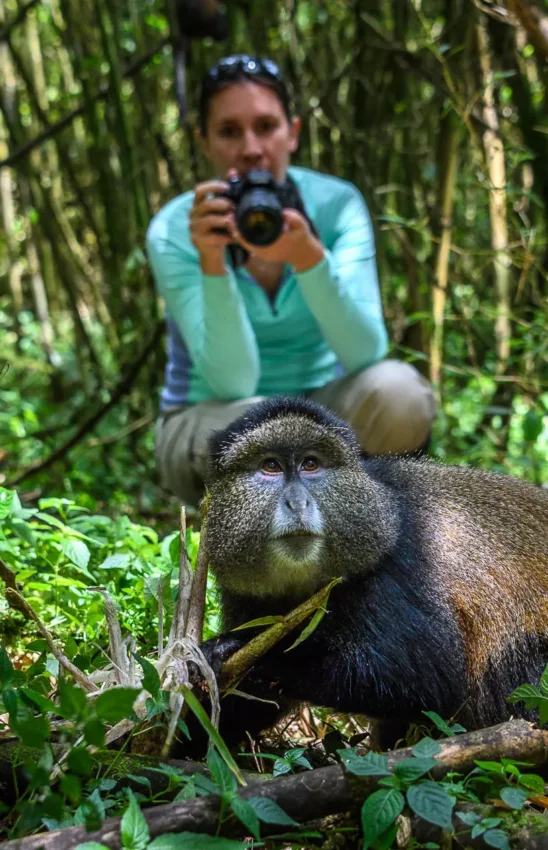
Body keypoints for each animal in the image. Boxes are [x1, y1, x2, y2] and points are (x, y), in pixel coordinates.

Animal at [198, 396, 548, 749]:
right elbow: (250, 707)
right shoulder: (246, 596)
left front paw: (266, 657)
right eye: (270, 466)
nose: (298, 503)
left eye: (311, 464)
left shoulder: (401, 562)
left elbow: (427, 677)